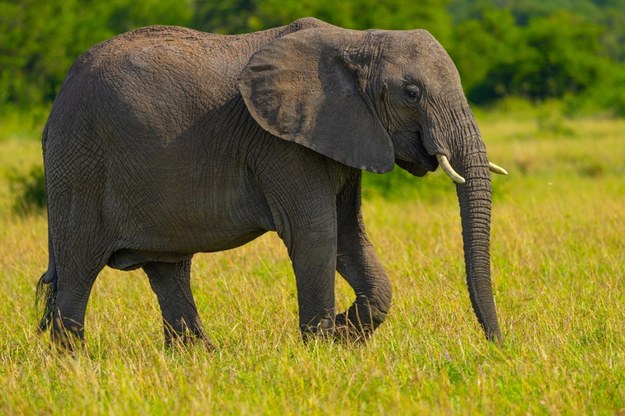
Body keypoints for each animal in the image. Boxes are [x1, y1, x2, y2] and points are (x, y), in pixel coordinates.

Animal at [35, 17, 508, 348]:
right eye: (412, 93)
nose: (497, 346)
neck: (356, 40)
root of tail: (53, 108)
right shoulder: (282, 144)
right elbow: (316, 233)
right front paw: (323, 347)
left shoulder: (343, 133)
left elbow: (348, 235)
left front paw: (343, 334)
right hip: (80, 165)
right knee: (78, 270)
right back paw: (73, 363)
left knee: (168, 268)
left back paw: (201, 356)